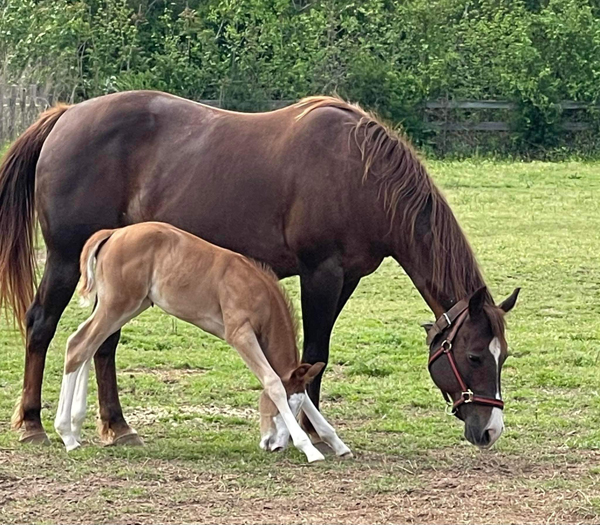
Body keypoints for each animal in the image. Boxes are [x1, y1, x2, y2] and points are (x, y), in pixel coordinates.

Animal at [53, 222, 352, 462]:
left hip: (130, 306)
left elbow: (292, 384)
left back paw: (76, 426)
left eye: (297, 405)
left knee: (87, 342)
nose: (274, 445)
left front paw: (336, 443)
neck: (258, 292)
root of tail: (113, 233)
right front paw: (310, 449)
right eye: (284, 407)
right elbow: (273, 382)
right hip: (117, 305)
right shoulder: (240, 334)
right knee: (78, 345)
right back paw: (67, 435)